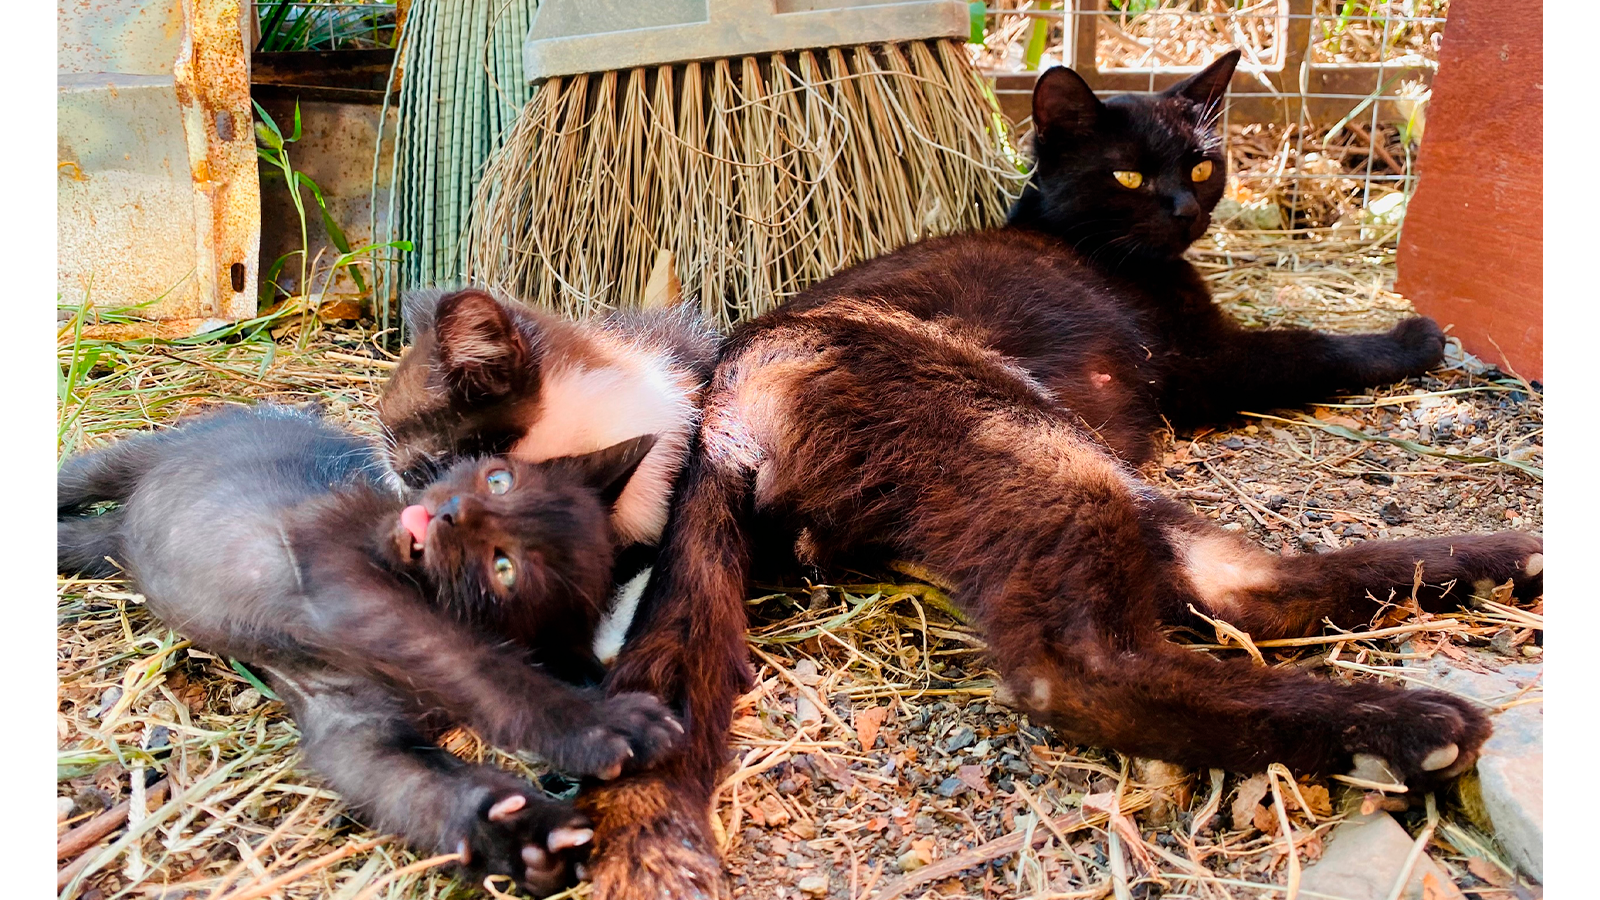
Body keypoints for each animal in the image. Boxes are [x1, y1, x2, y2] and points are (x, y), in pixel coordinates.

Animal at [54, 405, 681, 890]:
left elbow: (415, 785)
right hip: (140, 455)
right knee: (83, 474)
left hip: (111, 546)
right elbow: (472, 660)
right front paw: (598, 724)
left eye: (504, 568)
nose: (451, 511)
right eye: (498, 480)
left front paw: (524, 839)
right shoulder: (335, 567)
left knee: (83, 539)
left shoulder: (353, 728)